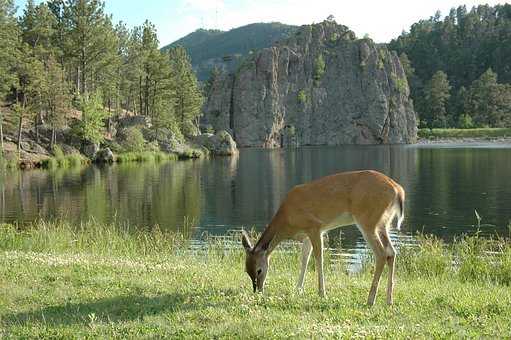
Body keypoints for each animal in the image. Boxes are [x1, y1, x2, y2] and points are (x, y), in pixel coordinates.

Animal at [242, 170, 406, 306]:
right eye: (246, 270)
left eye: (259, 270)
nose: (258, 290)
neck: (287, 220)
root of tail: (398, 190)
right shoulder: (306, 235)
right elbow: (304, 259)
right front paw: (298, 290)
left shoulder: (315, 227)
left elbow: (318, 258)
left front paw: (322, 293)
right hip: (383, 223)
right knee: (392, 252)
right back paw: (389, 300)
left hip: (368, 221)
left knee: (381, 254)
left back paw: (370, 300)